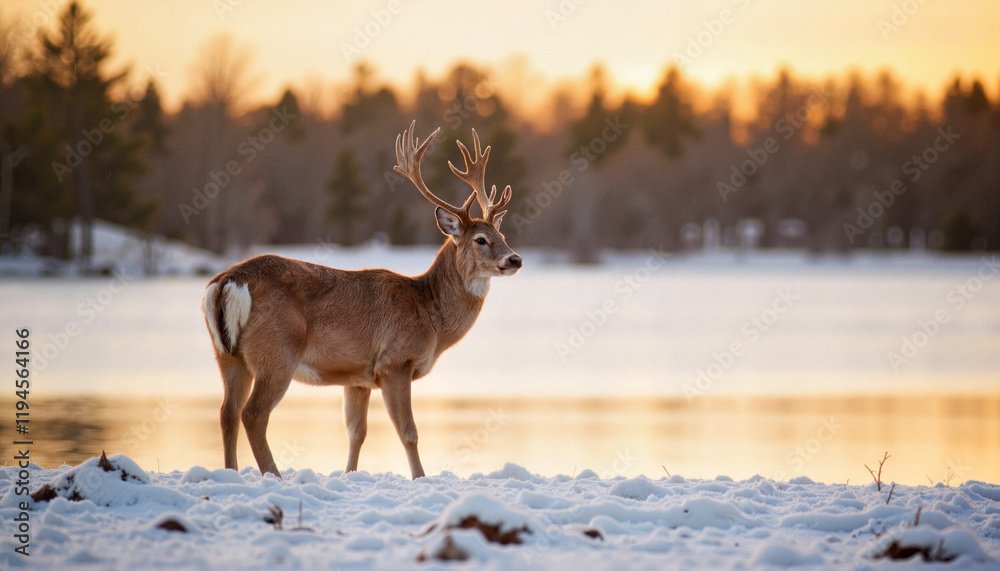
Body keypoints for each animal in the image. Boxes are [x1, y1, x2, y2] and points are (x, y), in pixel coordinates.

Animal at [201, 122, 521, 480]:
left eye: (503, 236)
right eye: (481, 239)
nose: (515, 259)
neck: (431, 315)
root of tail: (228, 281)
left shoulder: (357, 377)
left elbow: (356, 433)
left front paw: (349, 474)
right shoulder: (395, 362)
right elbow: (409, 432)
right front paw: (420, 478)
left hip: (228, 355)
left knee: (227, 412)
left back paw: (230, 472)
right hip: (277, 351)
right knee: (253, 414)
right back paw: (275, 476)